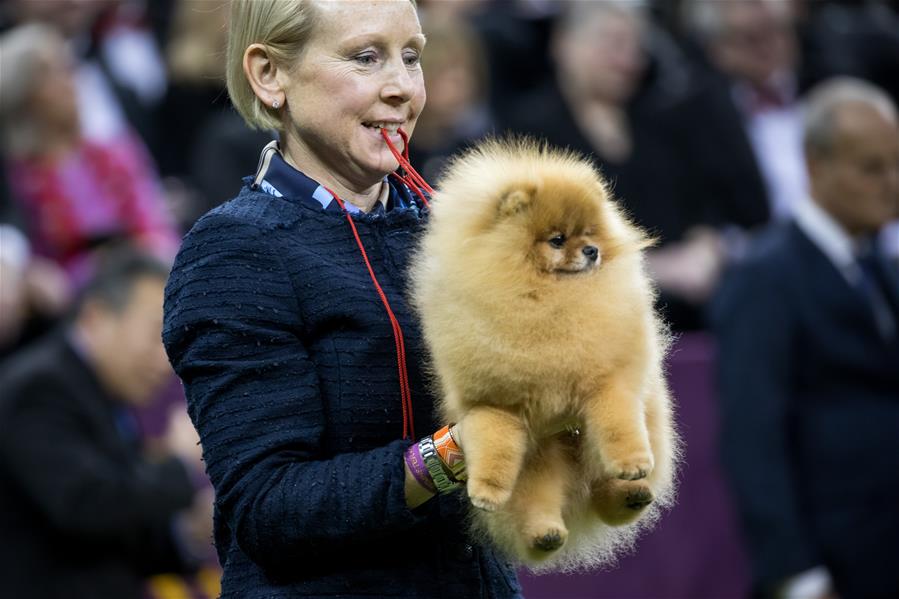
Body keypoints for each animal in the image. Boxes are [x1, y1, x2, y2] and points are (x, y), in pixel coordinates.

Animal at [412, 137, 680, 572]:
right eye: (557, 240)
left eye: (590, 232)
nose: (592, 250)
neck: (546, 300)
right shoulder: (493, 404)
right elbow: (492, 447)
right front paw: (485, 489)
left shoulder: (609, 383)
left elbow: (619, 426)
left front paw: (633, 462)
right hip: (541, 460)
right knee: (539, 500)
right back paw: (546, 533)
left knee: (603, 483)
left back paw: (630, 493)